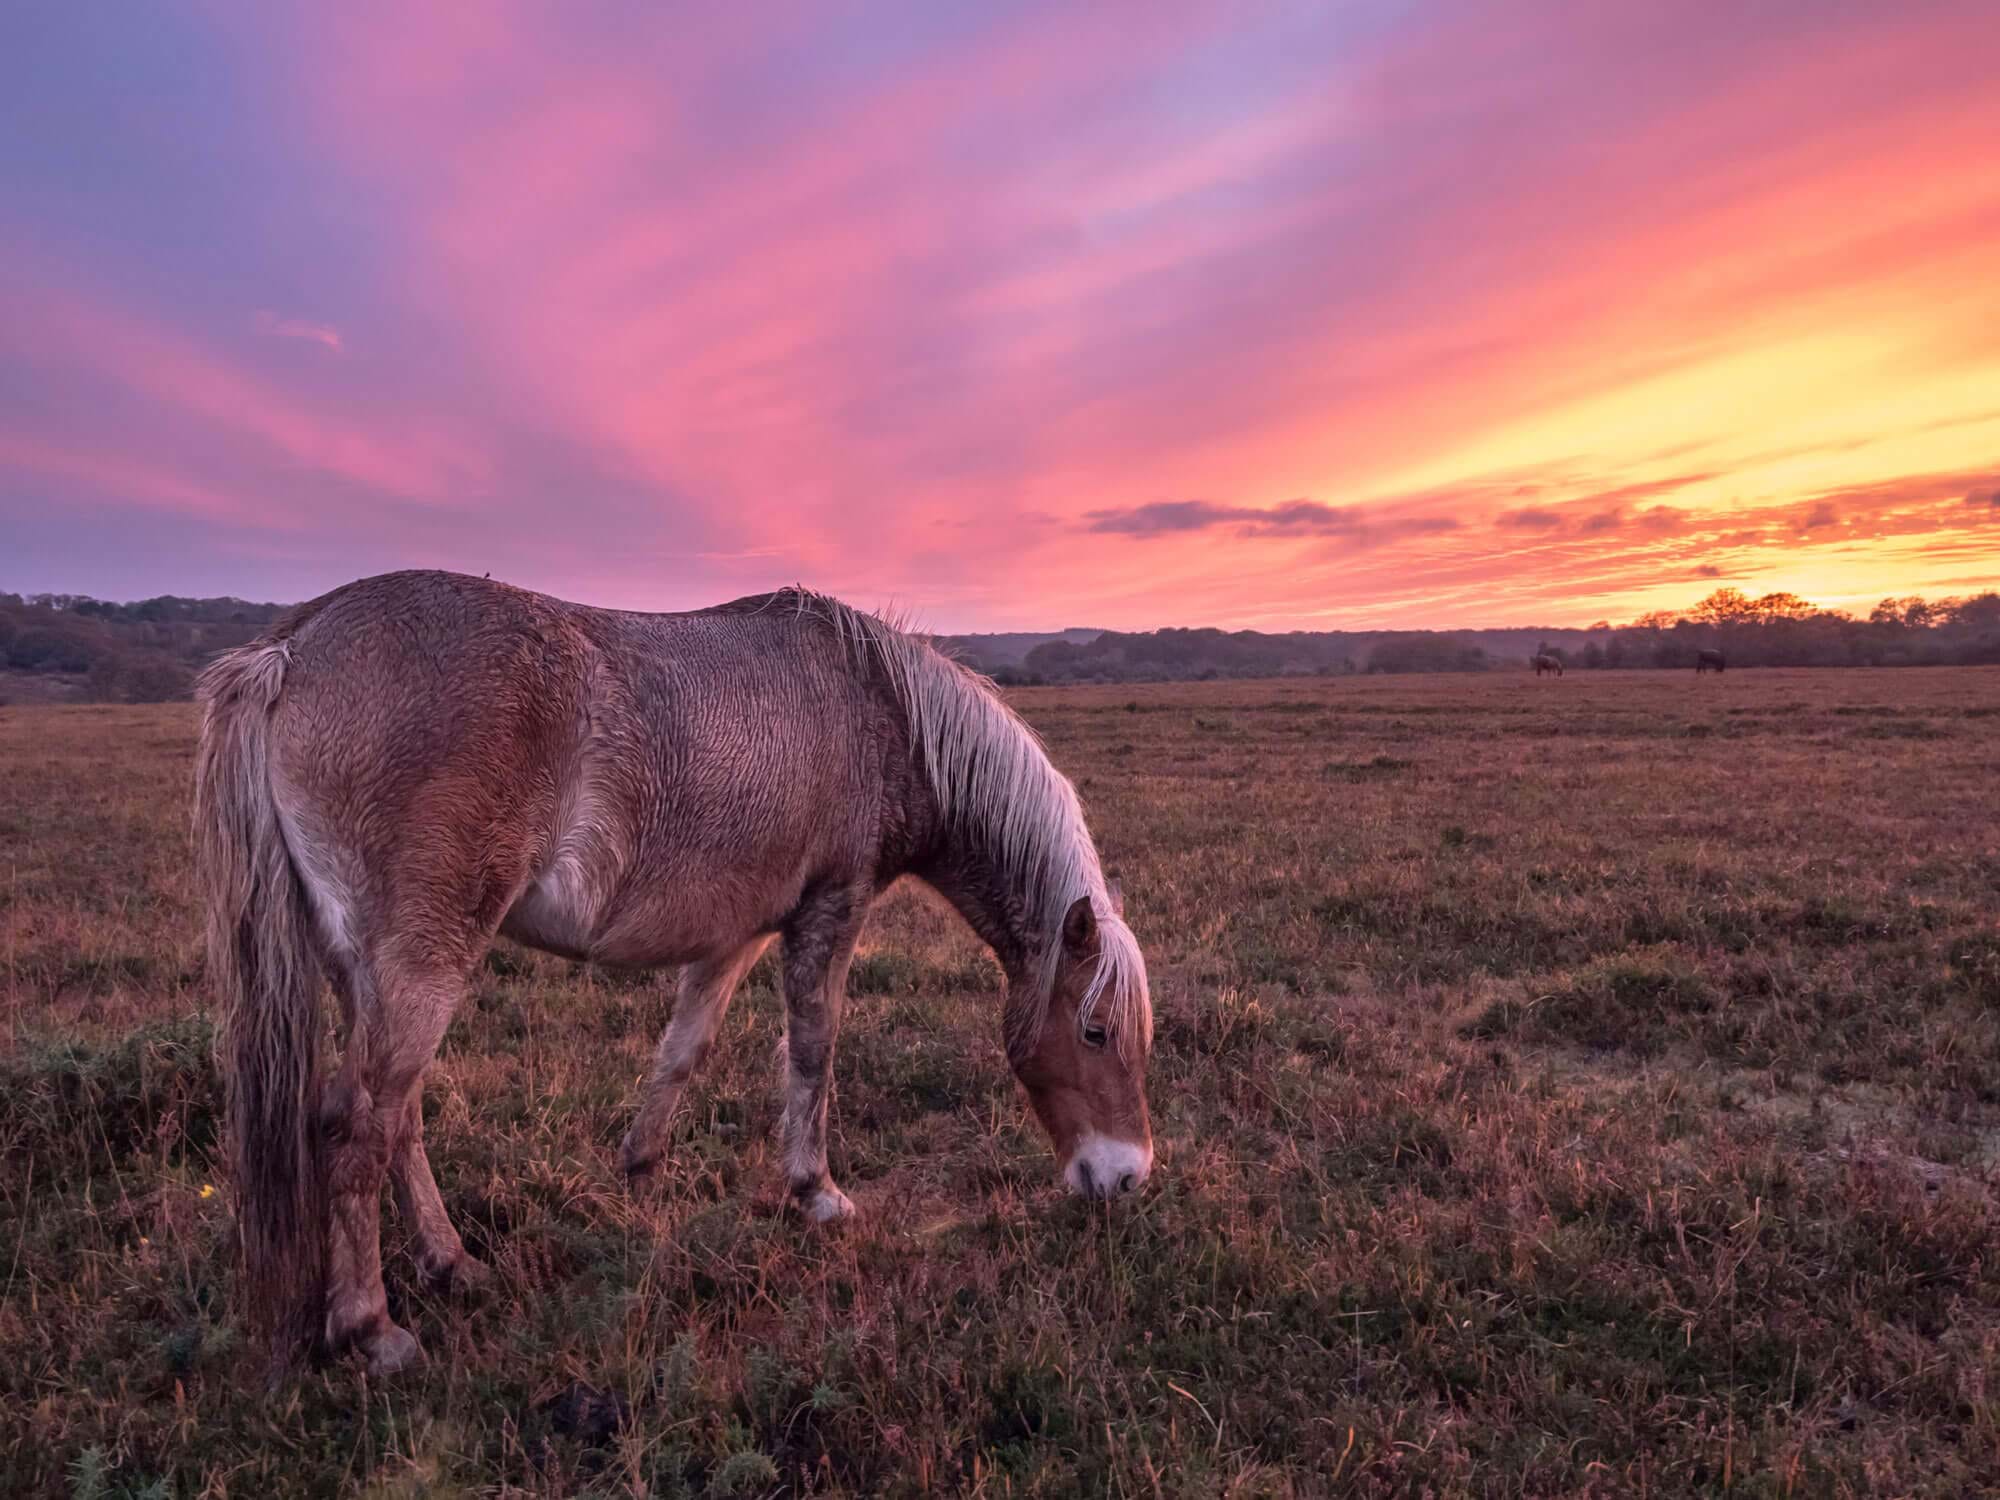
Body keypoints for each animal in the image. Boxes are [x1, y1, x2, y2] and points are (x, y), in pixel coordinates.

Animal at [194, 571, 1154, 1376]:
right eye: (1094, 1030)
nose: (1127, 1178)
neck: (879, 706)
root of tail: (295, 647)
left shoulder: (735, 936)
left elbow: (683, 1049)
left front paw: (643, 1168)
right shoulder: (830, 911)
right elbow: (814, 1051)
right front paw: (816, 1193)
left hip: (367, 970)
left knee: (398, 1119)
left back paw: (451, 1263)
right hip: (424, 962)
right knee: (359, 1124)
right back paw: (373, 1327)